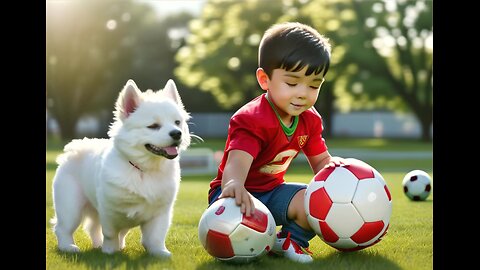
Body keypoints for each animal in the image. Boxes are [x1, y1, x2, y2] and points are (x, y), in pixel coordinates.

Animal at [52, 78, 191, 258]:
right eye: (153, 126)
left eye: (177, 123)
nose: (177, 133)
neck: (143, 170)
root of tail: (73, 149)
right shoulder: (109, 211)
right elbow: (110, 234)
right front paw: (110, 252)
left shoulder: (160, 213)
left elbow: (155, 237)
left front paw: (159, 253)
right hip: (71, 207)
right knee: (63, 228)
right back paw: (68, 247)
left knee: (94, 228)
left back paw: (100, 245)